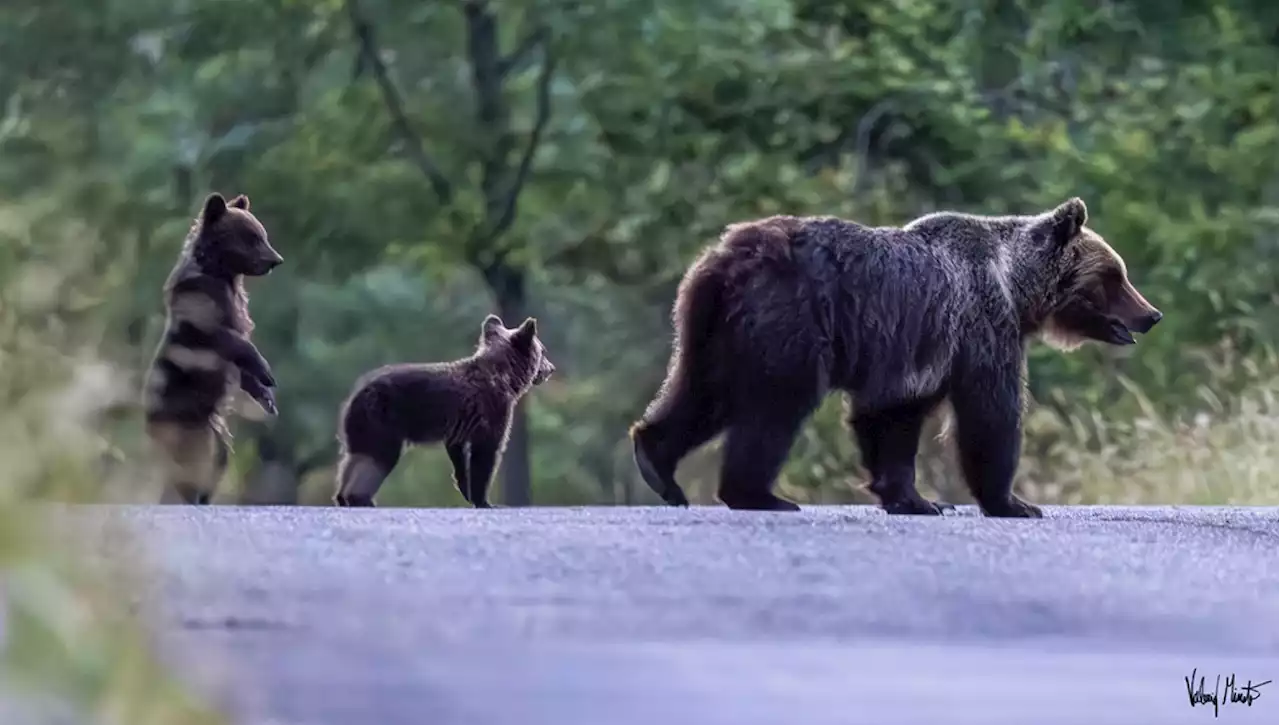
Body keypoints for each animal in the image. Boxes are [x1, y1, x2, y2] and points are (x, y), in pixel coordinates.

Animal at [629, 198, 1162, 517]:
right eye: (1115, 276)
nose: (1151, 314)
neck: (1015, 287)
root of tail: (725, 258)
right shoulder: (980, 327)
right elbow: (990, 413)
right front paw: (1013, 502)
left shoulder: (919, 354)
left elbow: (893, 419)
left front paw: (914, 499)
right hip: (791, 319)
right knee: (775, 406)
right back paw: (759, 495)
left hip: (713, 330)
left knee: (702, 393)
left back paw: (658, 467)